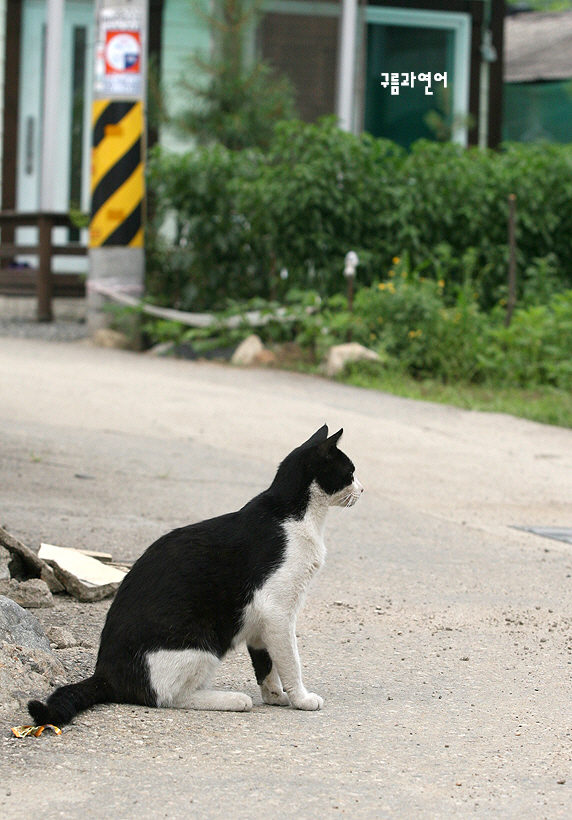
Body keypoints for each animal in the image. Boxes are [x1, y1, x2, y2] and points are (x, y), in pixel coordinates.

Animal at [29, 426, 362, 728]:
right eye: (351, 472)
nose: (363, 489)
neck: (294, 515)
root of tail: (106, 674)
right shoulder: (277, 611)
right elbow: (291, 662)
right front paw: (301, 698)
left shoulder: (261, 624)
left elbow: (266, 664)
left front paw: (275, 695)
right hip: (203, 643)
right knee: (166, 696)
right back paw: (231, 699)